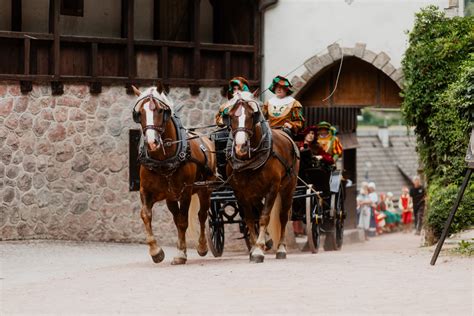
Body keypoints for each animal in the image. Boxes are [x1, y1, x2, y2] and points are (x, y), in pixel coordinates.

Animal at [131, 86, 217, 264]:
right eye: (139, 113)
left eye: (160, 110)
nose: (152, 142)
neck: (164, 160)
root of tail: (207, 140)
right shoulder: (146, 191)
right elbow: (146, 215)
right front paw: (156, 251)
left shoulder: (185, 192)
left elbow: (184, 222)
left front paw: (180, 254)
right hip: (171, 197)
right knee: (178, 219)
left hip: (205, 189)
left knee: (202, 216)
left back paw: (202, 246)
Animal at [227, 90, 300, 262]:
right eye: (231, 116)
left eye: (251, 115)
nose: (240, 147)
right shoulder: (241, 193)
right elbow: (249, 218)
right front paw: (255, 247)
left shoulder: (272, 188)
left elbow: (265, 217)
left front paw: (259, 250)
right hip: (255, 193)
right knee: (258, 212)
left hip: (288, 187)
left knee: (282, 216)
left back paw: (281, 248)